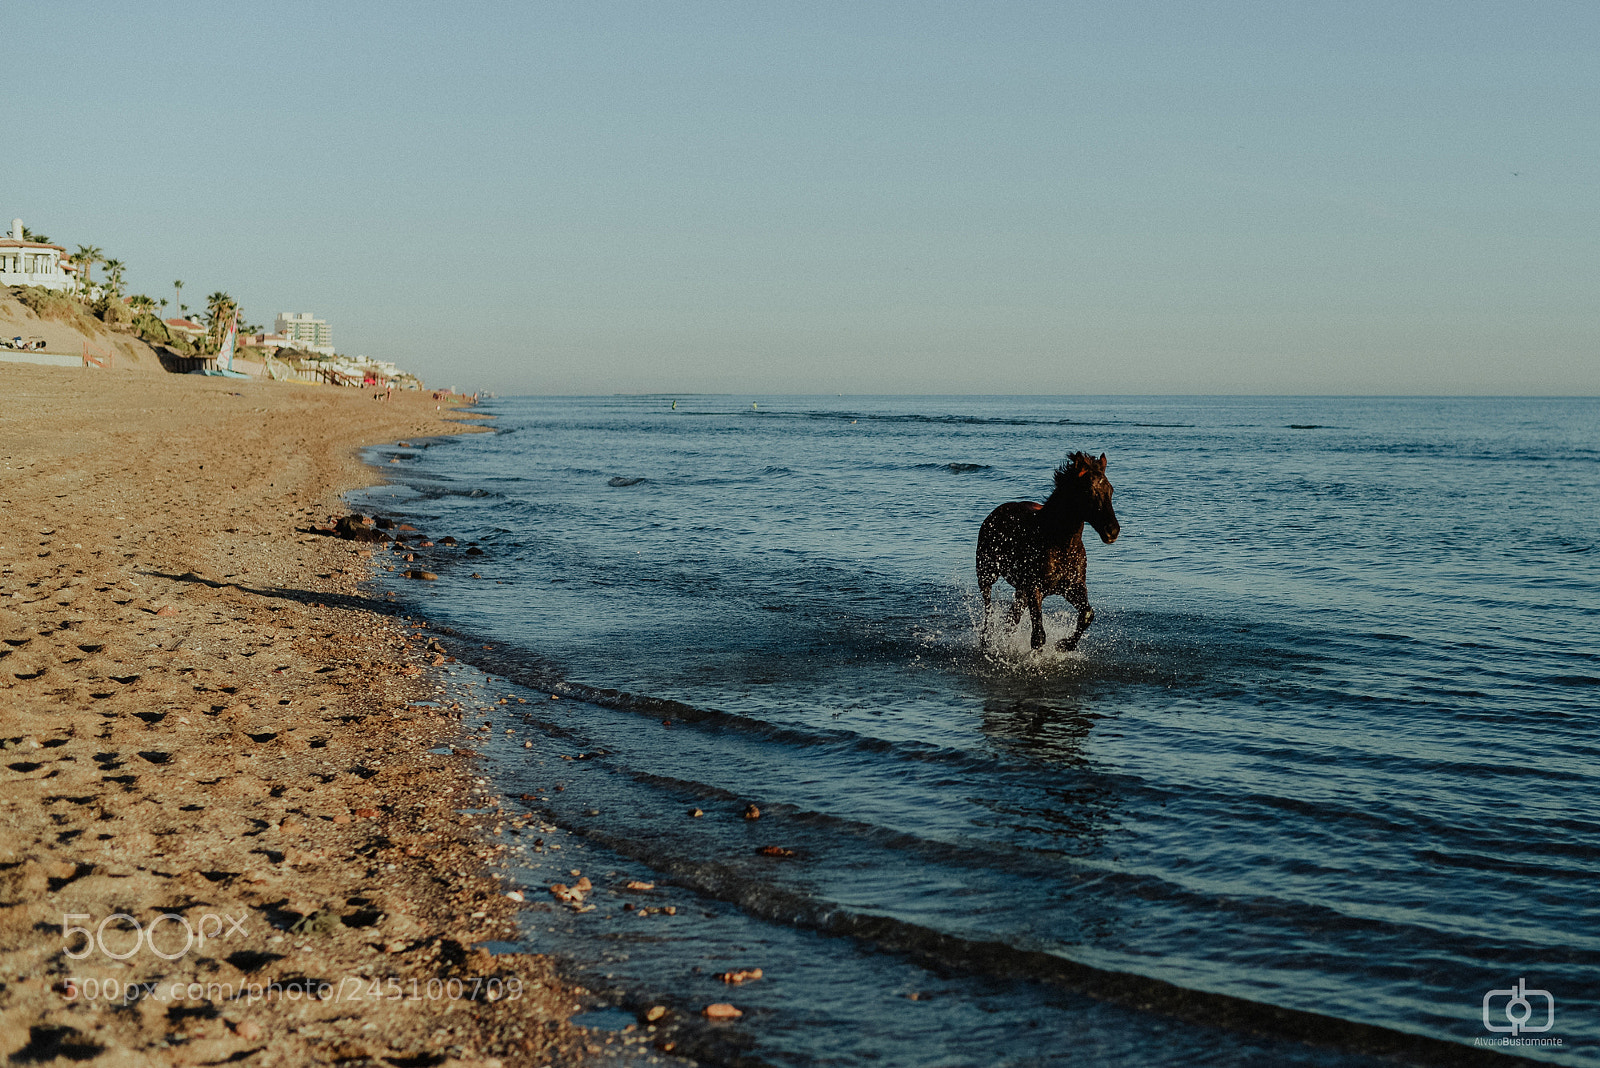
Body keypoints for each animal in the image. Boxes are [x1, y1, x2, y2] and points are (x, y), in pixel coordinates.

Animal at [976, 453, 1120, 652]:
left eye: (1110, 490)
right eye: (1088, 491)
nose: (1112, 531)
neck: (1061, 545)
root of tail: (996, 512)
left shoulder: (1072, 587)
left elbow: (1087, 614)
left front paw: (1064, 645)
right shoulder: (1035, 589)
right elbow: (1038, 636)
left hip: (1020, 590)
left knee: (1011, 619)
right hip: (987, 574)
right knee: (988, 609)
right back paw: (986, 639)